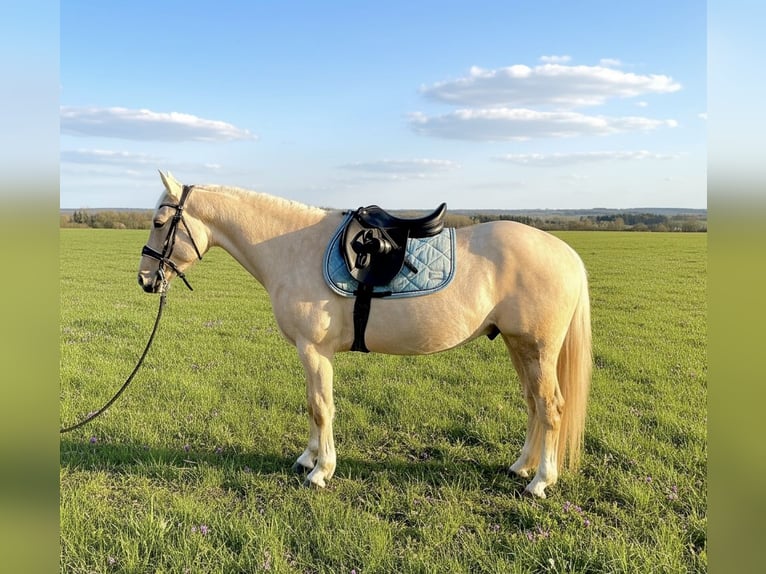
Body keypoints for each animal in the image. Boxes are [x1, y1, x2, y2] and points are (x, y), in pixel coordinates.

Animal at [138, 171, 592, 498]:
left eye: (160, 222)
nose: (145, 280)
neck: (292, 248)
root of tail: (567, 253)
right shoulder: (311, 353)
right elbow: (312, 405)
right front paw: (308, 459)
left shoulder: (314, 350)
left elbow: (322, 407)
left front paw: (321, 471)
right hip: (519, 346)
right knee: (533, 404)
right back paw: (522, 466)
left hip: (537, 348)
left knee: (550, 407)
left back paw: (540, 481)